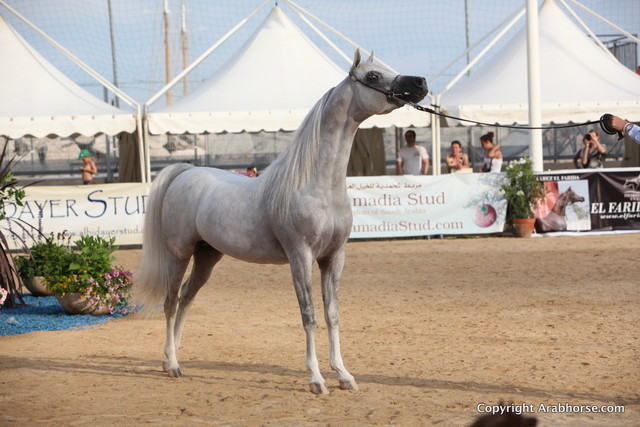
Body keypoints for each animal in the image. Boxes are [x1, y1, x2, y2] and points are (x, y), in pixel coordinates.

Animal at [135, 49, 428, 395]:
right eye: (372, 75)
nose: (420, 82)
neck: (317, 185)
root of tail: (186, 170)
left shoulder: (334, 257)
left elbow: (332, 315)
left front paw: (343, 374)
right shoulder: (300, 256)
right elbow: (309, 314)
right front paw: (316, 379)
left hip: (207, 256)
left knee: (186, 298)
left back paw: (173, 356)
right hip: (179, 254)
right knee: (170, 302)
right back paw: (172, 364)